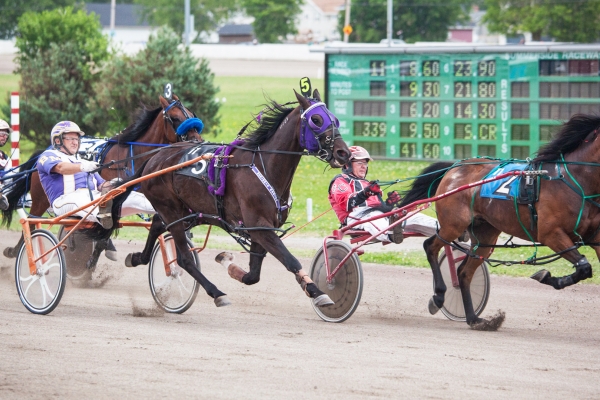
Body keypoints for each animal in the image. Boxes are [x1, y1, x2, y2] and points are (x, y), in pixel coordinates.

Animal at [1, 95, 202, 260]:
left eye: (191, 114)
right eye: (175, 118)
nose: (198, 142)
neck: (131, 157)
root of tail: (41, 155)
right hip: (41, 199)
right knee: (31, 222)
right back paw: (19, 250)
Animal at [400, 114, 600, 330]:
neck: (576, 180)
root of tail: (454, 168)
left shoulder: (596, 237)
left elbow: (585, 267)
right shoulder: (551, 234)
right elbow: (583, 266)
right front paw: (548, 277)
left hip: (485, 234)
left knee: (463, 272)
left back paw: (474, 319)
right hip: (453, 224)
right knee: (430, 246)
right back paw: (438, 297)